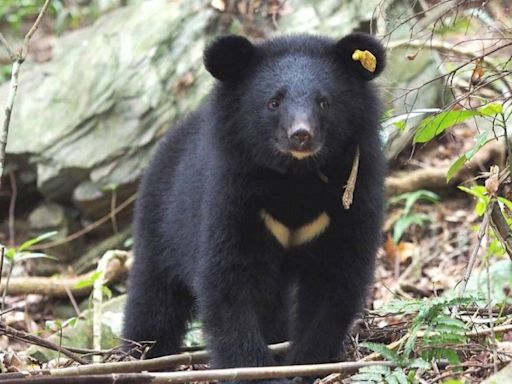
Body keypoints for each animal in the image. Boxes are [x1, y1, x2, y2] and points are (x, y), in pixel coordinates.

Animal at [124, 33, 386, 380]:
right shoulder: (234, 197)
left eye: (324, 102)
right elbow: (230, 281)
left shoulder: (350, 200)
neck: (295, 178)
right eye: (274, 102)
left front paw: (305, 365)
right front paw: (253, 368)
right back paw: (139, 356)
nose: (301, 135)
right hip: (162, 224)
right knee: (153, 300)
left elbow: (335, 281)